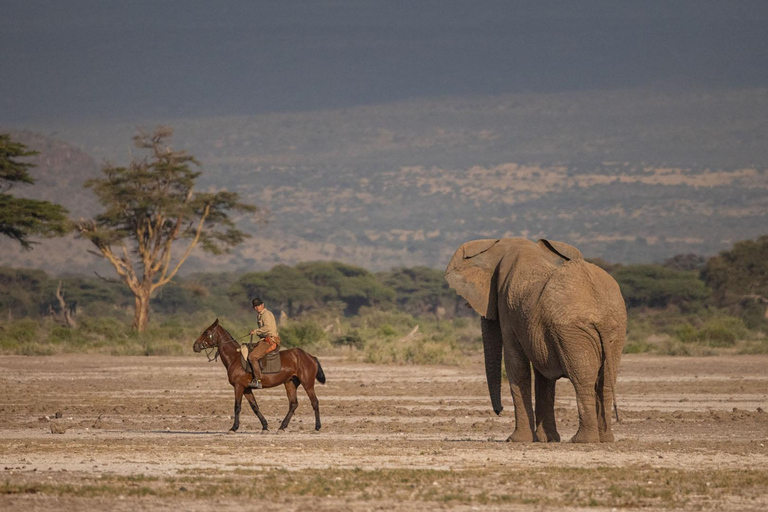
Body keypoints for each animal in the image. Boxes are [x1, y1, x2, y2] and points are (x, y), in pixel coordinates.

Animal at [194, 320, 326, 432]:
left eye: (206, 332)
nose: (194, 346)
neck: (234, 358)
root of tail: (310, 356)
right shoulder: (247, 388)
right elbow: (255, 407)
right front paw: (265, 426)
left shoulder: (238, 386)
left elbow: (237, 406)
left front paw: (234, 428)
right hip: (290, 383)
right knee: (293, 404)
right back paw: (282, 427)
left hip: (307, 383)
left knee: (314, 402)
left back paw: (317, 427)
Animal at [448, 238, 628, 442]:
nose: (499, 411)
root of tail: (601, 311)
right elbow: (543, 373)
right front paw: (548, 440)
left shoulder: (508, 310)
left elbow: (516, 366)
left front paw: (516, 440)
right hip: (615, 329)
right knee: (606, 381)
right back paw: (605, 439)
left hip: (573, 331)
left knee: (583, 379)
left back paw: (582, 440)